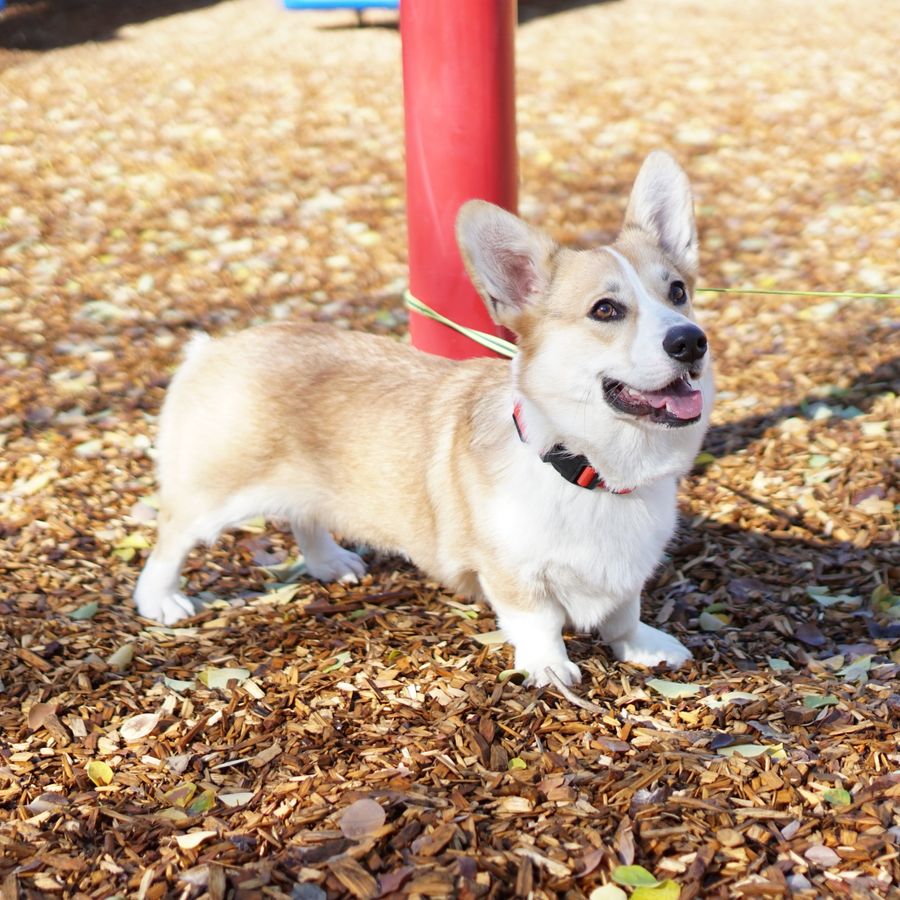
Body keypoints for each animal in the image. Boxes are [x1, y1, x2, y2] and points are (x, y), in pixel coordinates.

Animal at [135, 153, 712, 688]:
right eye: (605, 310)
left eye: (678, 292)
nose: (690, 341)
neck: (589, 469)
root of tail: (213, 347)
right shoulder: (512, 574)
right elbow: (539, 622)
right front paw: (549, 669)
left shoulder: (626, 576)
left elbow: (623, 614)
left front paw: (642, 646)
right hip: (213, 494)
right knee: (172, 536)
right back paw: (160, 600)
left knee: (303, 514)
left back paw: (328, 562)